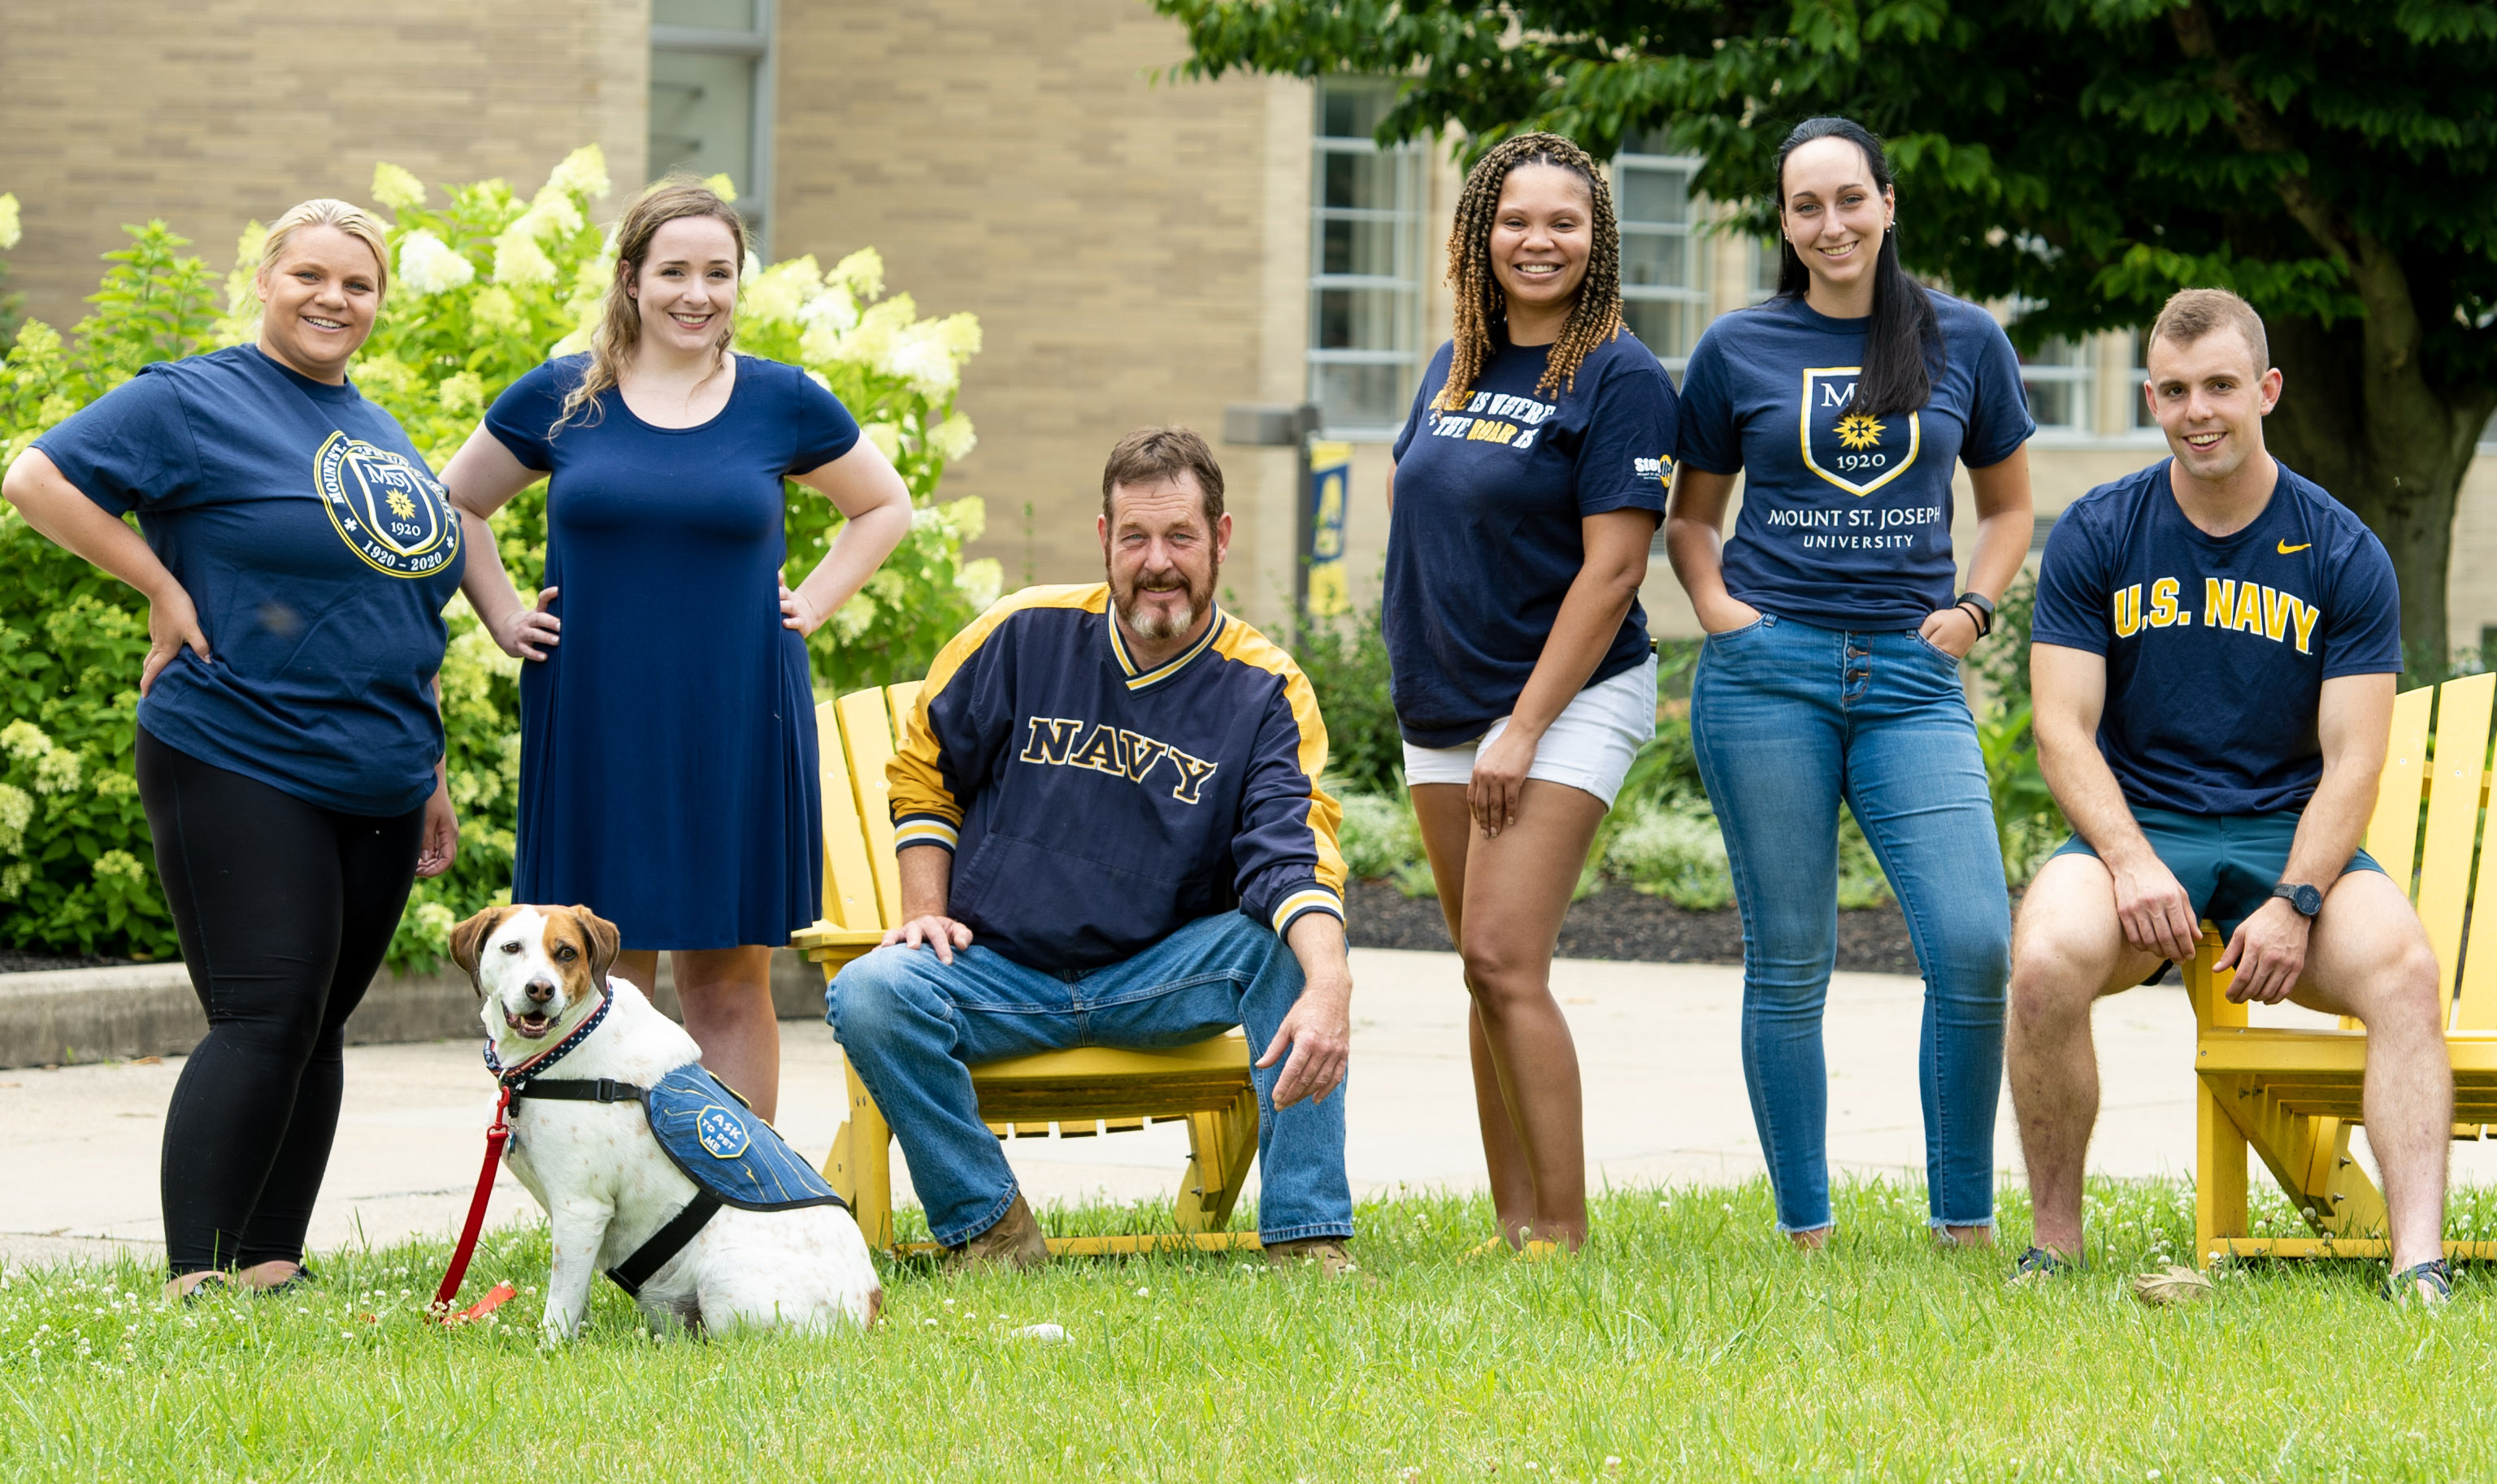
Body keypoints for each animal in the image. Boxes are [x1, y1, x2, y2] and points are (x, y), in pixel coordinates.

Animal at [454, 894, 884, 1339]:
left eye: (567, 953)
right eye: (511, 948)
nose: (540, 989)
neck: (566, 1045)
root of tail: (869, 1309)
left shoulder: (581, 1208)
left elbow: (559, 1307)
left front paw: (552, 1347)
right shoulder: (574, 1225)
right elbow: (575, 1297)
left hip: (722, 1279)